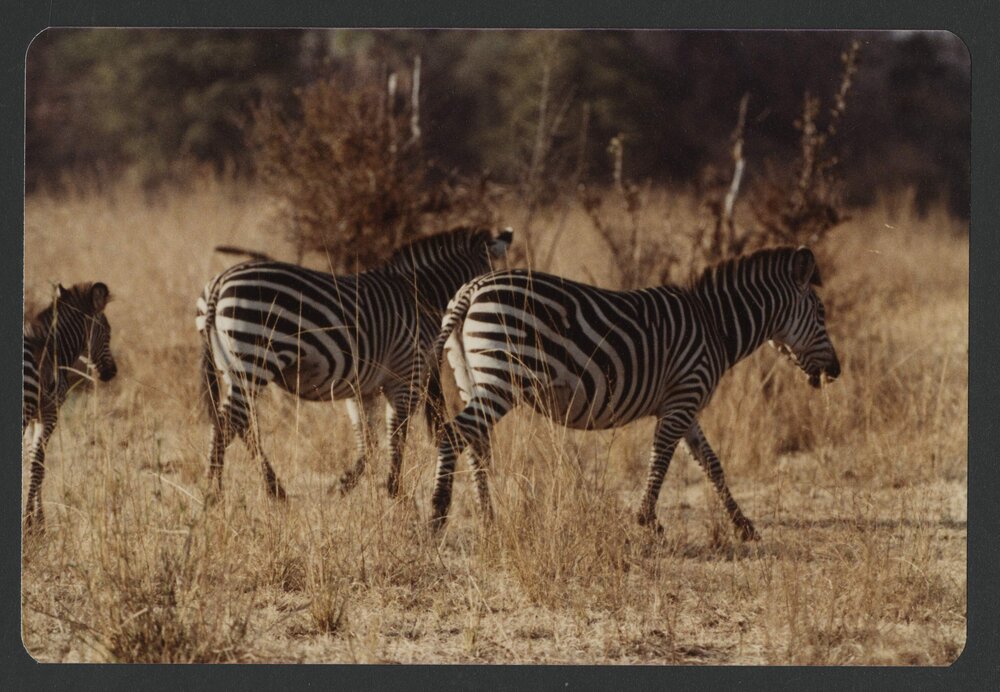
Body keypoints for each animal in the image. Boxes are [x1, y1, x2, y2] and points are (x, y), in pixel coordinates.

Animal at [23, 282, 118, 534]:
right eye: (108, 331)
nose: (112, 372)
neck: (53, 349)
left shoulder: (35, 416)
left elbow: (31, 458)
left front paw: (36, 520)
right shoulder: (50, 411)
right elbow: (38, 464)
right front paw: (33, 524)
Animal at [196, 226, 513, 501]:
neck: (420, 295)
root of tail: (219, 283)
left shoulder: (364, 388)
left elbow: (369, 442)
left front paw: (344, 485)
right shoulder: (405, 376)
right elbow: (396, 435)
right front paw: (395, 491)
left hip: (235, 367)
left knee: (240, 424)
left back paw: (273, 490)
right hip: (253, 358)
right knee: (228, 423)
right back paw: (215, 493)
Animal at [427, 246, 841, 540]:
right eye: (821, 314)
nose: (836, 371)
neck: (715, 326)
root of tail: (471, 288)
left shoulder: (684, 405)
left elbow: (712, 464)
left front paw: (744, 525)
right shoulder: (683, 398)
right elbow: (661, 460)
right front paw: (647, 520)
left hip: (472, 377)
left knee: (475, 442)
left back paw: (488, 518)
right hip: (502, 377)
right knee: (453, 434)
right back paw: (437, 515)